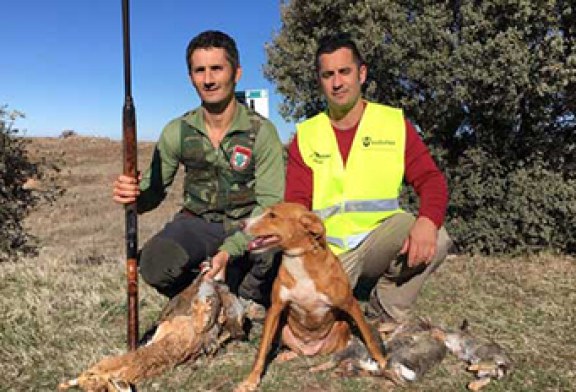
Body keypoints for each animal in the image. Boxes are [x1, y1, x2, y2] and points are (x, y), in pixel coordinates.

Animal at [233, 204, 388, 390]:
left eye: (272, 215)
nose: (240, 223)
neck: (299, 260)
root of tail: (312, 351)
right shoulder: (275, 309)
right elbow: (262, 350)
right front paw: (251, 380)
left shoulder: (351, 304)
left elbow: (369, 338)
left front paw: (382, 361)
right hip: (283, 328)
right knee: (297, 351)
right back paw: (287, 355)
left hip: (342, 325)